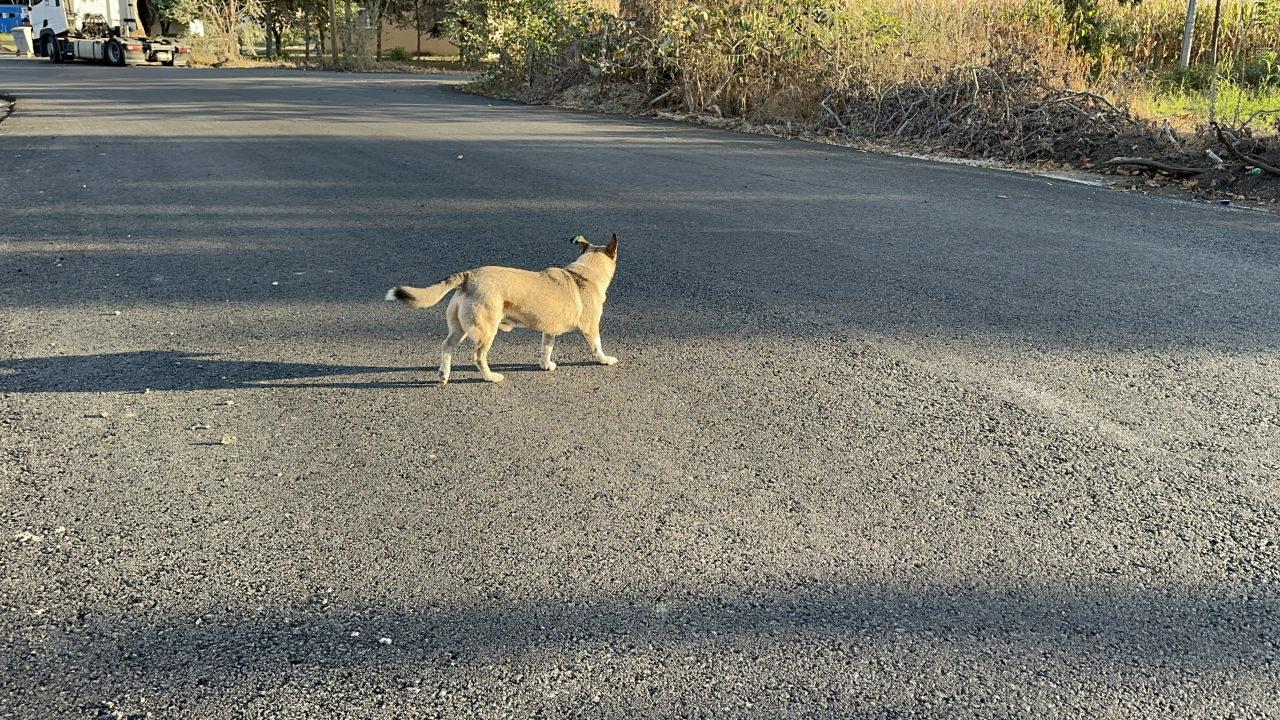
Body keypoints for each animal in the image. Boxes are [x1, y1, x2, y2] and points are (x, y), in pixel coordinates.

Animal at [384, 234, 619, 381]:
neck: (583, 275)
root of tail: (469, 276)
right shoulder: (590, 326)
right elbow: (597, 346)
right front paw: (605, 360)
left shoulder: (549, 330)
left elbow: (546, 348)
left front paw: (546, 365)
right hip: (486, 330)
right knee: (478, 356)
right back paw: (491, 377)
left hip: (459, 328)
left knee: (446, 347)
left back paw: (444, 375)